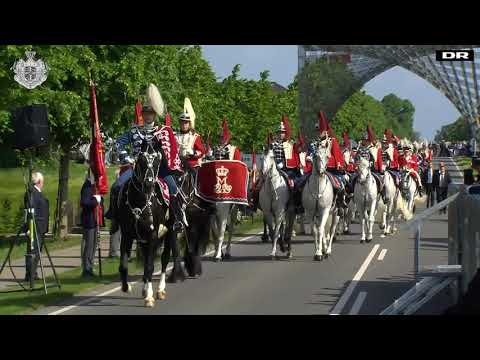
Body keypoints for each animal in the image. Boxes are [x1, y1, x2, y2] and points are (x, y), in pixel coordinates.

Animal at [116, 138, 169, 306]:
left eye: (158, 160)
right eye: (141, 160)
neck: (140, 203)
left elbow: (150, 266)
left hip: (170, 233)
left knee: (164, 259)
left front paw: (149, 297)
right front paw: (126, 287)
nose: (149, 184)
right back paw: (146, 288)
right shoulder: (127, 235)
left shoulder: (152, 235)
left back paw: (160, 290)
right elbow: (123, 266)